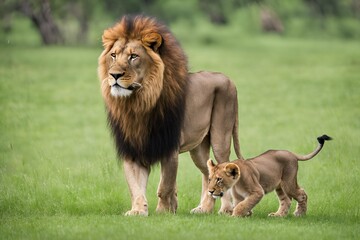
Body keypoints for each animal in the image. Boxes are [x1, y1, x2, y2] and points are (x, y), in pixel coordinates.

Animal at [98, 15, 243, 217]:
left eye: (133, 56)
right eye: (113, 55)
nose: (114, 75)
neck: (137, 104)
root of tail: (229, 79)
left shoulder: (169, 148)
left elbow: (165, 186)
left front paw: (165, 211)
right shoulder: (132, 149)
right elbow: (135, 187)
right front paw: (138, 211)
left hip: (220, 137)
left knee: (223, 167)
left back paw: (226, 209)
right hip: (198, 148)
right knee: (209, 172)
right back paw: (204, 209)